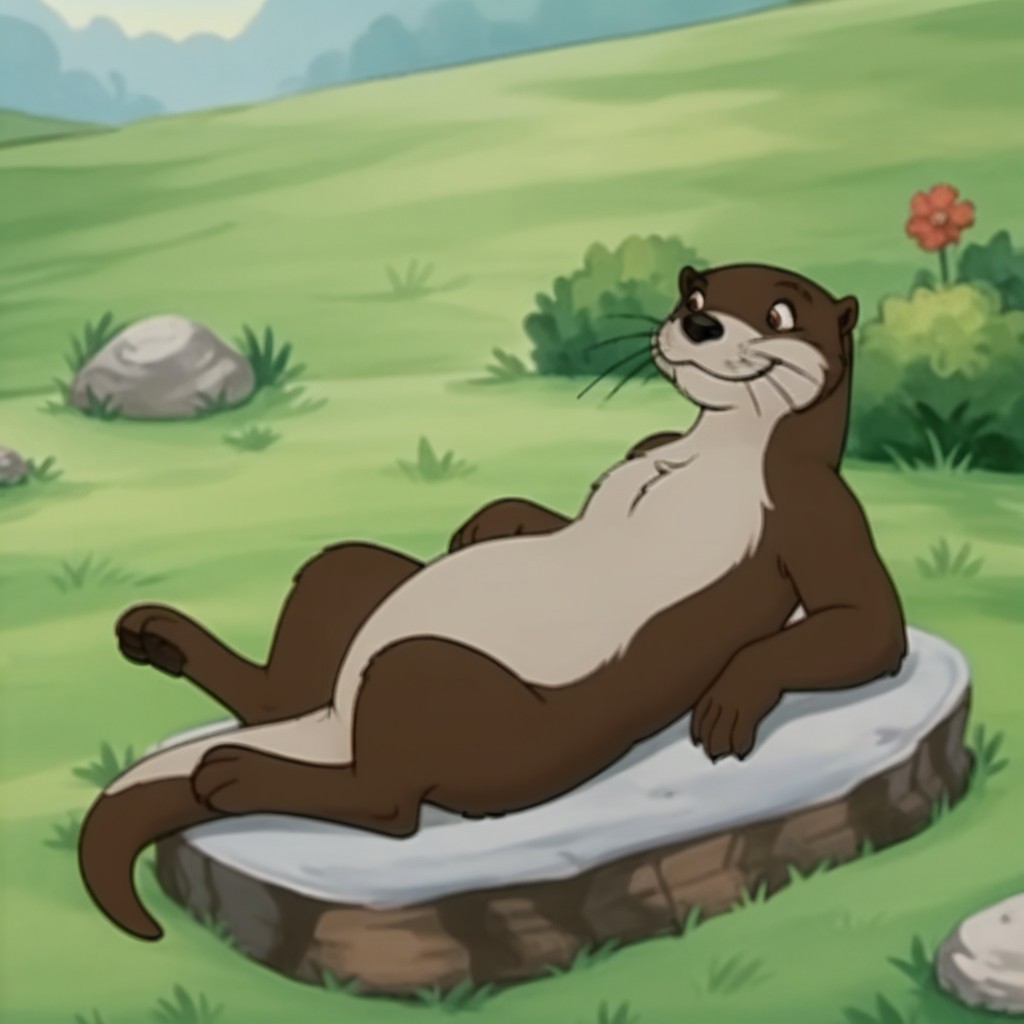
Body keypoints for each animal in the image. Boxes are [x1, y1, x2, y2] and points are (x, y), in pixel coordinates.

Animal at [79, 262, 907, 942]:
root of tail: (335, 724)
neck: (715, 453)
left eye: (778, 313)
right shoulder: (647, 443)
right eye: (695, 297)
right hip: (346, 594)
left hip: (456, 696)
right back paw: (161, 638)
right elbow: (555, 514)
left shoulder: (815, 510)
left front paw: (732, 696)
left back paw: (233, 773)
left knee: (387, 802)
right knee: (302, 646)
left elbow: (872, 624)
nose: (701, 325)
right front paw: (486, 521)